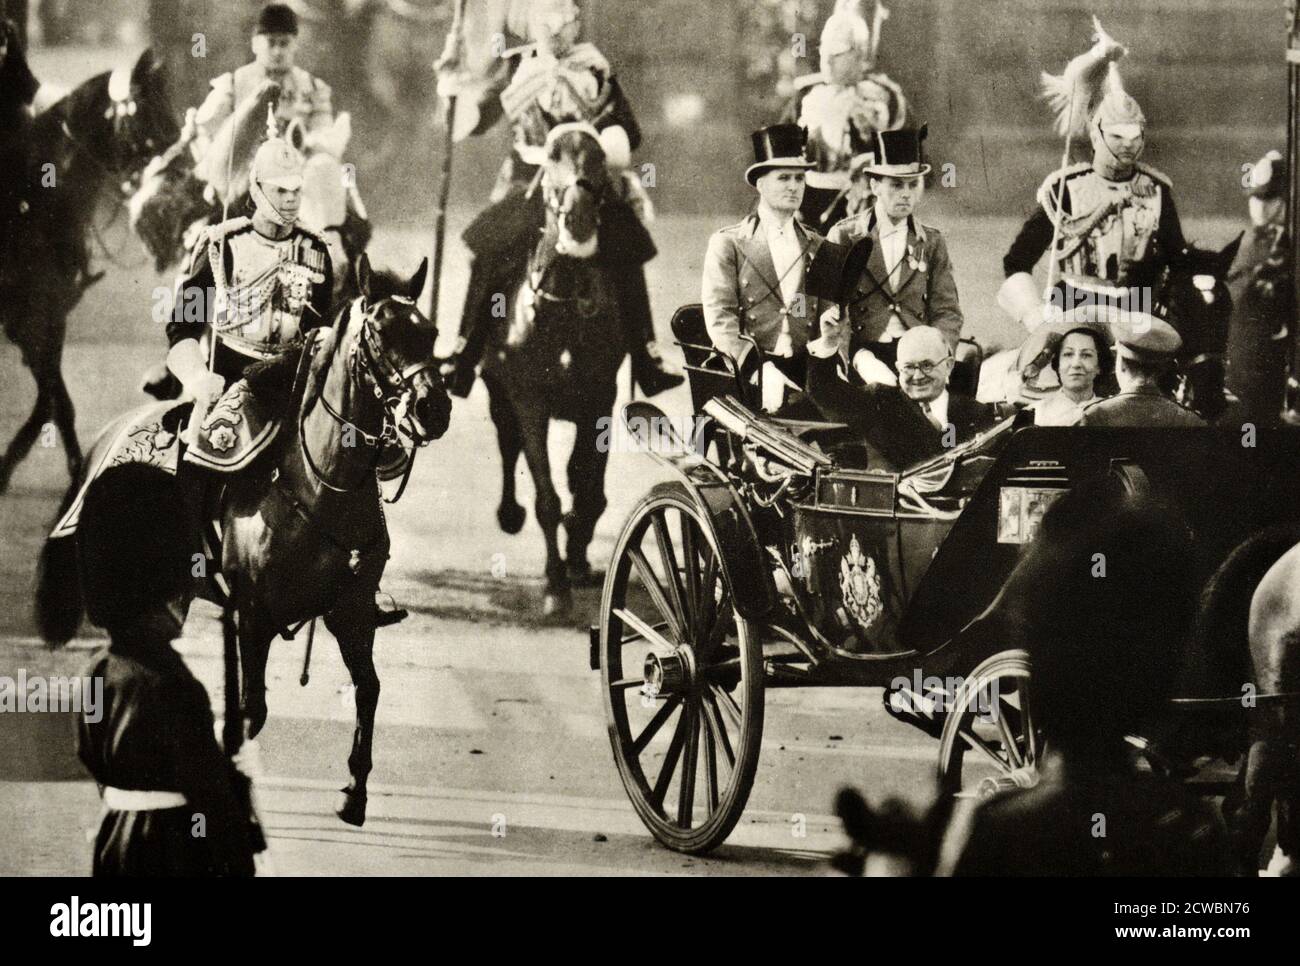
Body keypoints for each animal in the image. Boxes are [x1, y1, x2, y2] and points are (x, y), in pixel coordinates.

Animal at [0, 49, 179, 494]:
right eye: (145, 115)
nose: (181, 172)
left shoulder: (49, 317)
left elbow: (51, 403)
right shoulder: (27, 320)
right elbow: (56, 402)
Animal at [36, 254, 452, 821]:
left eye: (430, 332)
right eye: (380, 331)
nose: (433, 409)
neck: (321, 484)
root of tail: (107, 439)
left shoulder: (352, 611)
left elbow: (367, 688)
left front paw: (355, 790)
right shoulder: (255, 614)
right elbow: (253, 710)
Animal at [486, 128, 631, 616]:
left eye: (601, 159)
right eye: (551, 157)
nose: (580, 218)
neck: (564, 303)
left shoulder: (600, 399)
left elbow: (587, 484)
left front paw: (577, 558)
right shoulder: (529, 399)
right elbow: (547, 494)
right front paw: (555, 586)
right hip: (500, 395)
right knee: (508, 443)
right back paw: (510, 514)